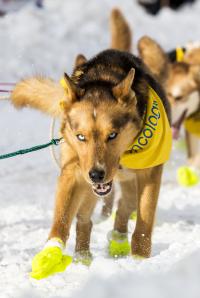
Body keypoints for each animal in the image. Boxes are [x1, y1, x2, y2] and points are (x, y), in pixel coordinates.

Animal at [10, 49, 170, 260]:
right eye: (80, 136)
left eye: (112, 135)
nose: (96, 174)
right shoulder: (73, 172)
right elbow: (61, 220)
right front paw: (50, 255)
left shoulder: (149, 173)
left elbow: (144, 221)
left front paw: (140, 258)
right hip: (90, 187)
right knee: (85, 218)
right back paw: (83, 256)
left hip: (128, 184)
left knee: (124, 206)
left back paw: (118, 241)